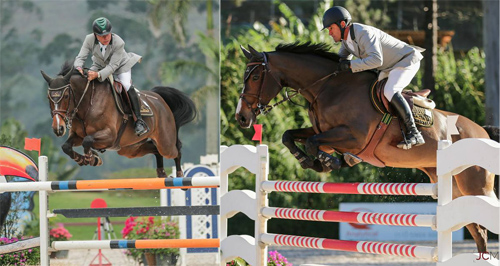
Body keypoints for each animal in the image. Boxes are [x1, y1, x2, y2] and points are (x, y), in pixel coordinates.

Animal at [40, 61, 196, 178]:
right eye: (48, 97)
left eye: (66, 96)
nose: (58, 128)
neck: (87, 103)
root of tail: (160, 99)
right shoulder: (78, 135)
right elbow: (66, 146)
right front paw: (86, 159)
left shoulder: (109, 135)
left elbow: (87, 141)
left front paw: (92, 158)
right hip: (131, 149)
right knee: (155, 150)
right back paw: (161, 173)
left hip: (165, 143)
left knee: (176, 150)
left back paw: (180, 177)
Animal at [236, 42, 498, 252]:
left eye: (256, 77)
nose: (242, 118)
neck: (327, 87)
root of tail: (482, 132)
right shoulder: (323, 131)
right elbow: (289, 136)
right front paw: (311, 160)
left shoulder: (355, 137)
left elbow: (313, 144)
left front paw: (327, 162)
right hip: (456, 191)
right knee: (478, 231)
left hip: (476, 187)